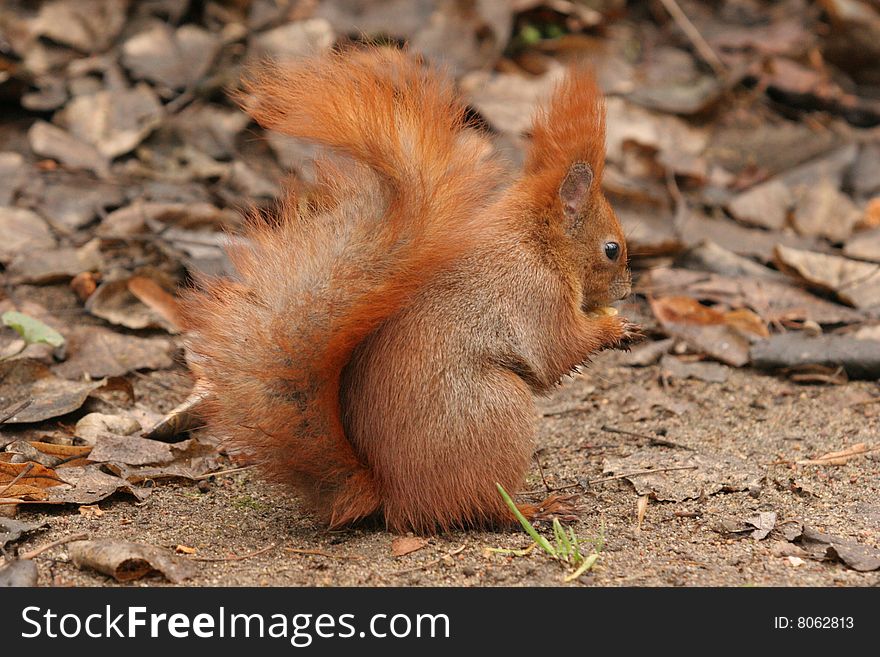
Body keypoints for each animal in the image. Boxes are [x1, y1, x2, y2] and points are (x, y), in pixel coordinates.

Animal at [184, 48, 632, 532]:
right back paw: (536, 509)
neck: (534, 241)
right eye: (612, 249)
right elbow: (556, 350)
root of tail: (390, 496)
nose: (627, 289)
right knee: (483, 506)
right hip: (497, 414)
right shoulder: (536, 295)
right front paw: (614, 330)